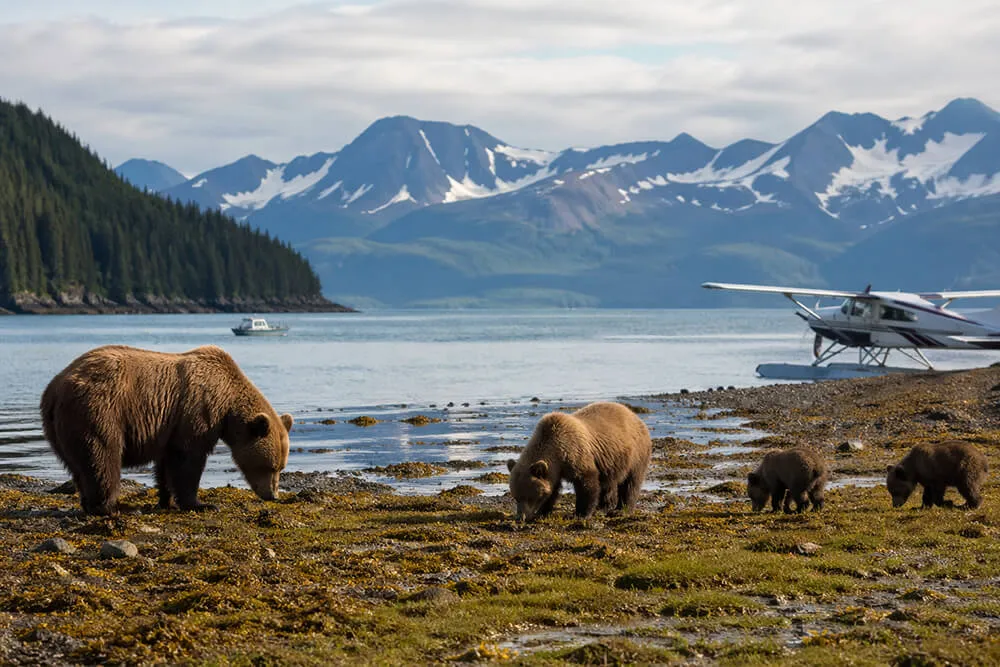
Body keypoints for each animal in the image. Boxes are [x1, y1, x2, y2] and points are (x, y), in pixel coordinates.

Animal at [40, 344, 293, 515]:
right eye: (270, 467)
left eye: (281, 467)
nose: (273, 495)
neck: (227, 404)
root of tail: (55, 388)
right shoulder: (197, 413)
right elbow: (188, 459)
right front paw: (201, 504)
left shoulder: (167, 425)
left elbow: (165, 463)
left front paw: (165, 499)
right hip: (99, 411)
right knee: (103, 457)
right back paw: (108, 506)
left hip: (59, 428)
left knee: (79, 465)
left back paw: (89, 503)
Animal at [506, 401, 652, 522]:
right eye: (516, 496)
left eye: (529, 497)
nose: (521, 517)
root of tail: (635, 416)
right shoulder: (555, 470)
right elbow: (553, 489)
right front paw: (542, 512)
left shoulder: (576, 454)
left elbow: (587, 483)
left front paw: (581, 514)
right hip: (610, 461)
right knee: (608, 482)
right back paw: (603, 506)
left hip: (636, 453)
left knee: (630, 482)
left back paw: (621, 510)